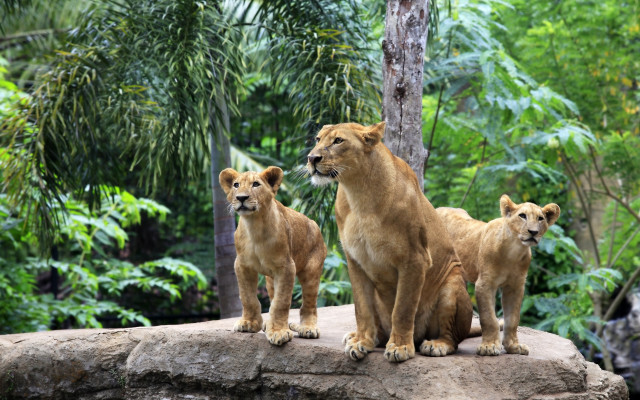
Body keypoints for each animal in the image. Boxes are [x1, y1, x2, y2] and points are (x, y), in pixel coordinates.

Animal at [219, 166, 327, 346]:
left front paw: (278, 332)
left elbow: (280, 302)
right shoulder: (242, 266)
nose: (241, 197)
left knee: (309, 303)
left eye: (256, 184)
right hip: (270, 279)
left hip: (311, 271)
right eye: (236, 185)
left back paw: (308, 328)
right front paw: (249, 323)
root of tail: (314, 224)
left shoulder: (286, 267)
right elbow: (248, 297)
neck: (254, 226)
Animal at [306, 122, 472, 362]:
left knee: (452, 337)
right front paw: (361, 342)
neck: (358, 192)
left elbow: (402, 309)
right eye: (318, 139)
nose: (312, 158)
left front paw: (400, 347)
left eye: (338, 141)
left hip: (452, 284)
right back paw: (361, 337)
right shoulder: (355, 260)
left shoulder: (415, 259)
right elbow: (361, 308)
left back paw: (436, 344)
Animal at [436, 195, 560, 356]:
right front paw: (489, 346)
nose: (533, 232)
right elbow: (488, 317)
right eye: (522, 216)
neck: (514, 251)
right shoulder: (484, 284)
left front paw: (514, 346)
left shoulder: (515, 286)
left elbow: (513, 319)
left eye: (540, 218)